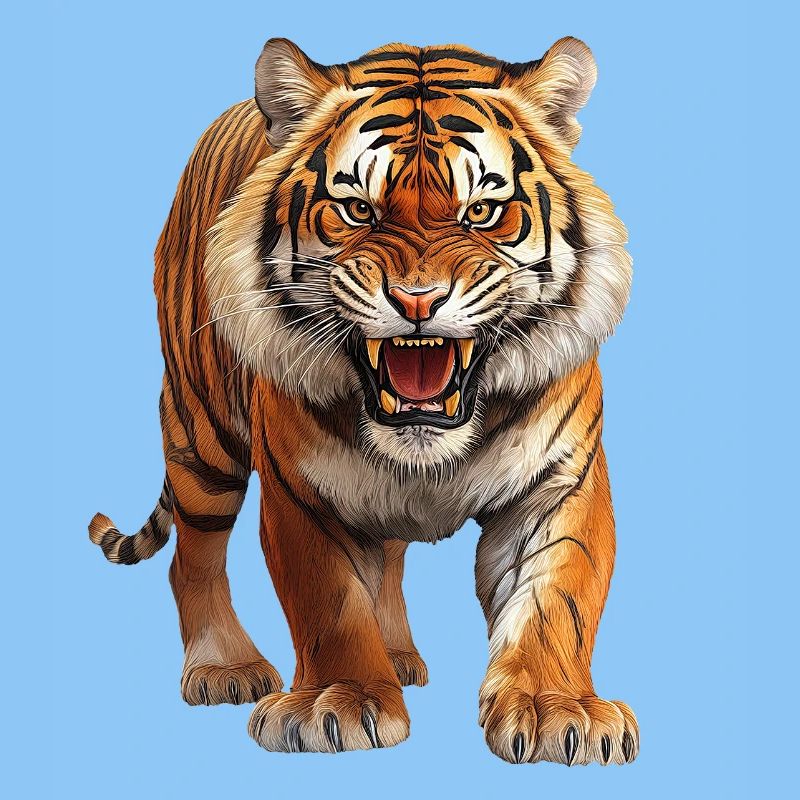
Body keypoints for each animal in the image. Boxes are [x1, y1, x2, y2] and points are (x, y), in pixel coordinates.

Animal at [89, 36, 637, 765]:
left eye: (482, 212)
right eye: (357, 210)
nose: (417, 301)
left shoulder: (560, 481)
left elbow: (558, 597)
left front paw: (558, 710)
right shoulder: (300, 489)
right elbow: (328, 599)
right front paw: (338, 702)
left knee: (390, 555)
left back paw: (399, 656)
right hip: (202, 433)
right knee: (193, 554)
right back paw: (224, 667)